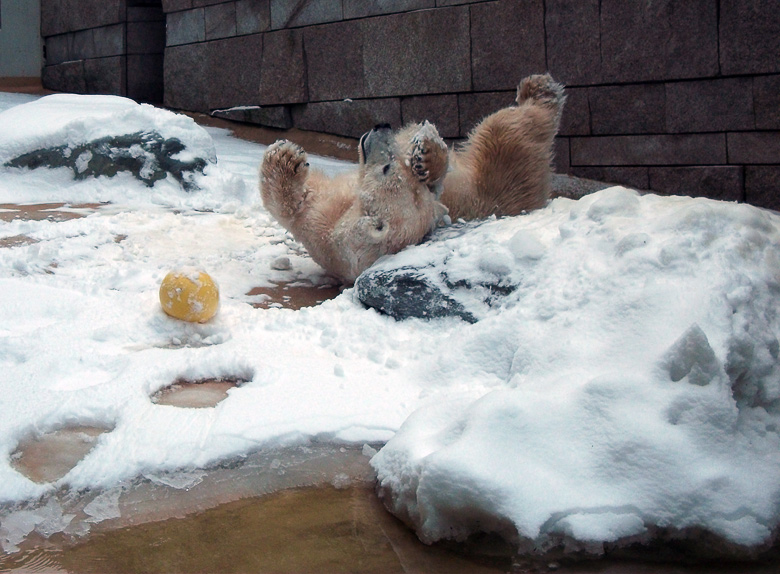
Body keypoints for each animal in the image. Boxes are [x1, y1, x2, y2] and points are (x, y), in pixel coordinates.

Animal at [262, 74, 568, 286]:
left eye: (388, 167)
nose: (382, 126)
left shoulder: (324, 225)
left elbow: (293, 203)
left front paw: (285, 158)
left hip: (501, 165)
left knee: (504, 127)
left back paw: (537, 88)